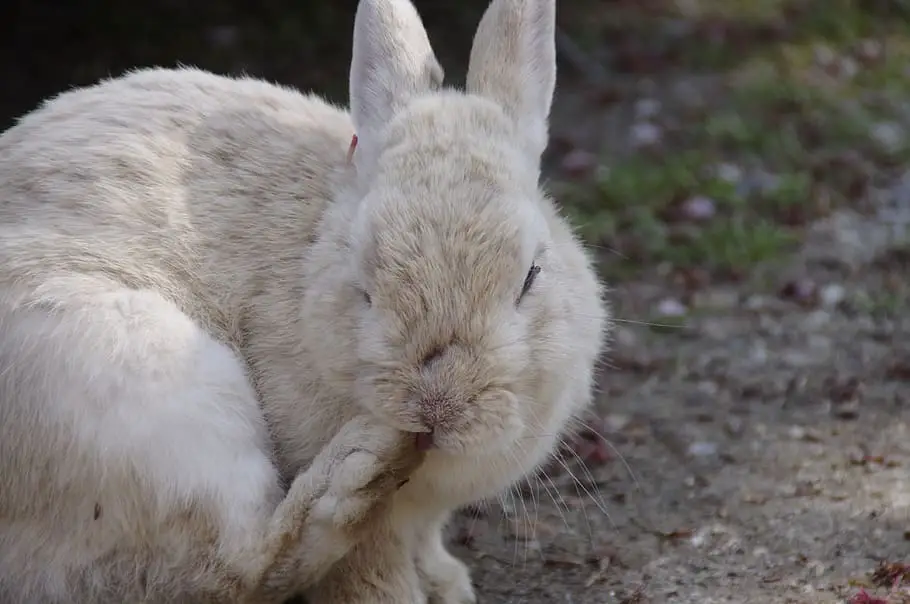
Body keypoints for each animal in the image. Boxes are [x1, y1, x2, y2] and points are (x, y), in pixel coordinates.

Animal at [1, 0, 612, 600]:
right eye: (363, 281)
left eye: (531, 276)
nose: (436, 408)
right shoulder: (373, 534)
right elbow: (369, 573)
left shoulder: (425, 518)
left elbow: (425, 541)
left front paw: (448, 584)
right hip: (139, 386)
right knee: (232, 571)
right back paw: (360, 466)